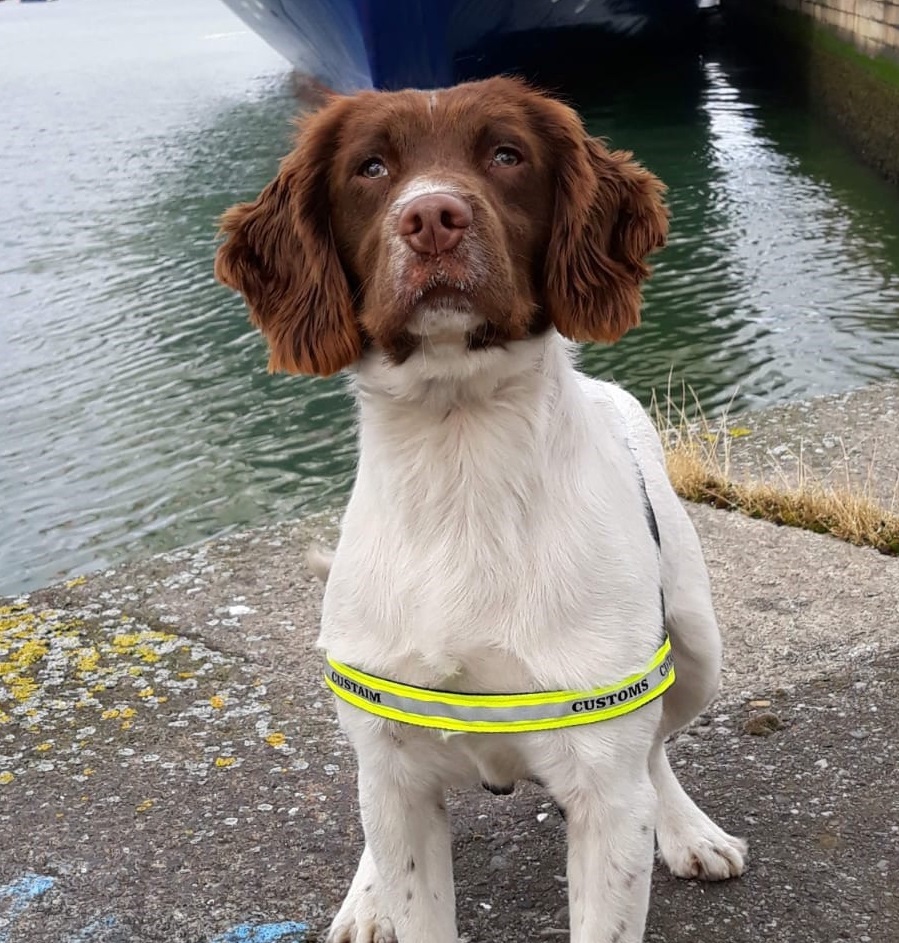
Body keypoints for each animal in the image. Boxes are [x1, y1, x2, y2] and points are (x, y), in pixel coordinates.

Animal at [216, 75, 744, 943]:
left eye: (505, 154)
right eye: (369, 167)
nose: (432, 218)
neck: (459, 462)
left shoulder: (603, 782)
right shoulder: (395, 765)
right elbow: (402, 860)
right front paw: (378, 896)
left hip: (698, 646)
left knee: (657, 747)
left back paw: (686, 827)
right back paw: (365, 898)